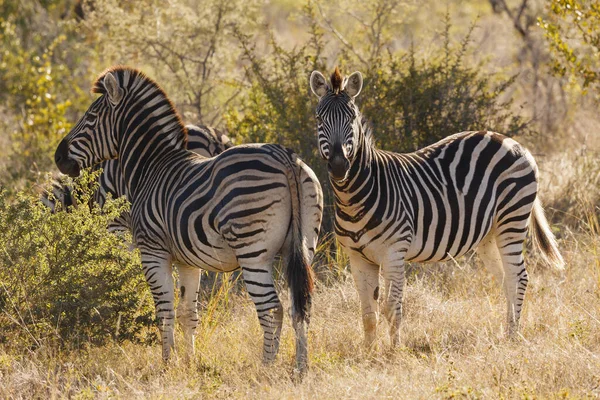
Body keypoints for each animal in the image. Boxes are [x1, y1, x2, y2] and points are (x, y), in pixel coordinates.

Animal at [55, 64, 324, 374]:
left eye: (91, 117)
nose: (58, 156)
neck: (149, 168)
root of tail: (284, 156)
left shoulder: (152, 251)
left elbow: (164, 311)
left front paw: (167, 365)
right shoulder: (188, 260)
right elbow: (188, 313)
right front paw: (189, 362)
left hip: (253, 251)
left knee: (271, 309)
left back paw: (266, 367)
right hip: (304, 245)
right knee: (300, 305)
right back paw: (301, 367)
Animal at [310, 68, 564, 346]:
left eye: (352, 118)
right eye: (319, 119)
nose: (338, 166)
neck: (355, 197)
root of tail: (510, 140)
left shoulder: (394, 252)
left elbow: (392, 308)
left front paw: (394, 351)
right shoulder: (358, 258)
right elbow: (368, 314)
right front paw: (368, 353)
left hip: (513, 219)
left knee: (519, 276)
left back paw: (513, 336)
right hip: (489, 232)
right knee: (507, 278)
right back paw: (507, 332)